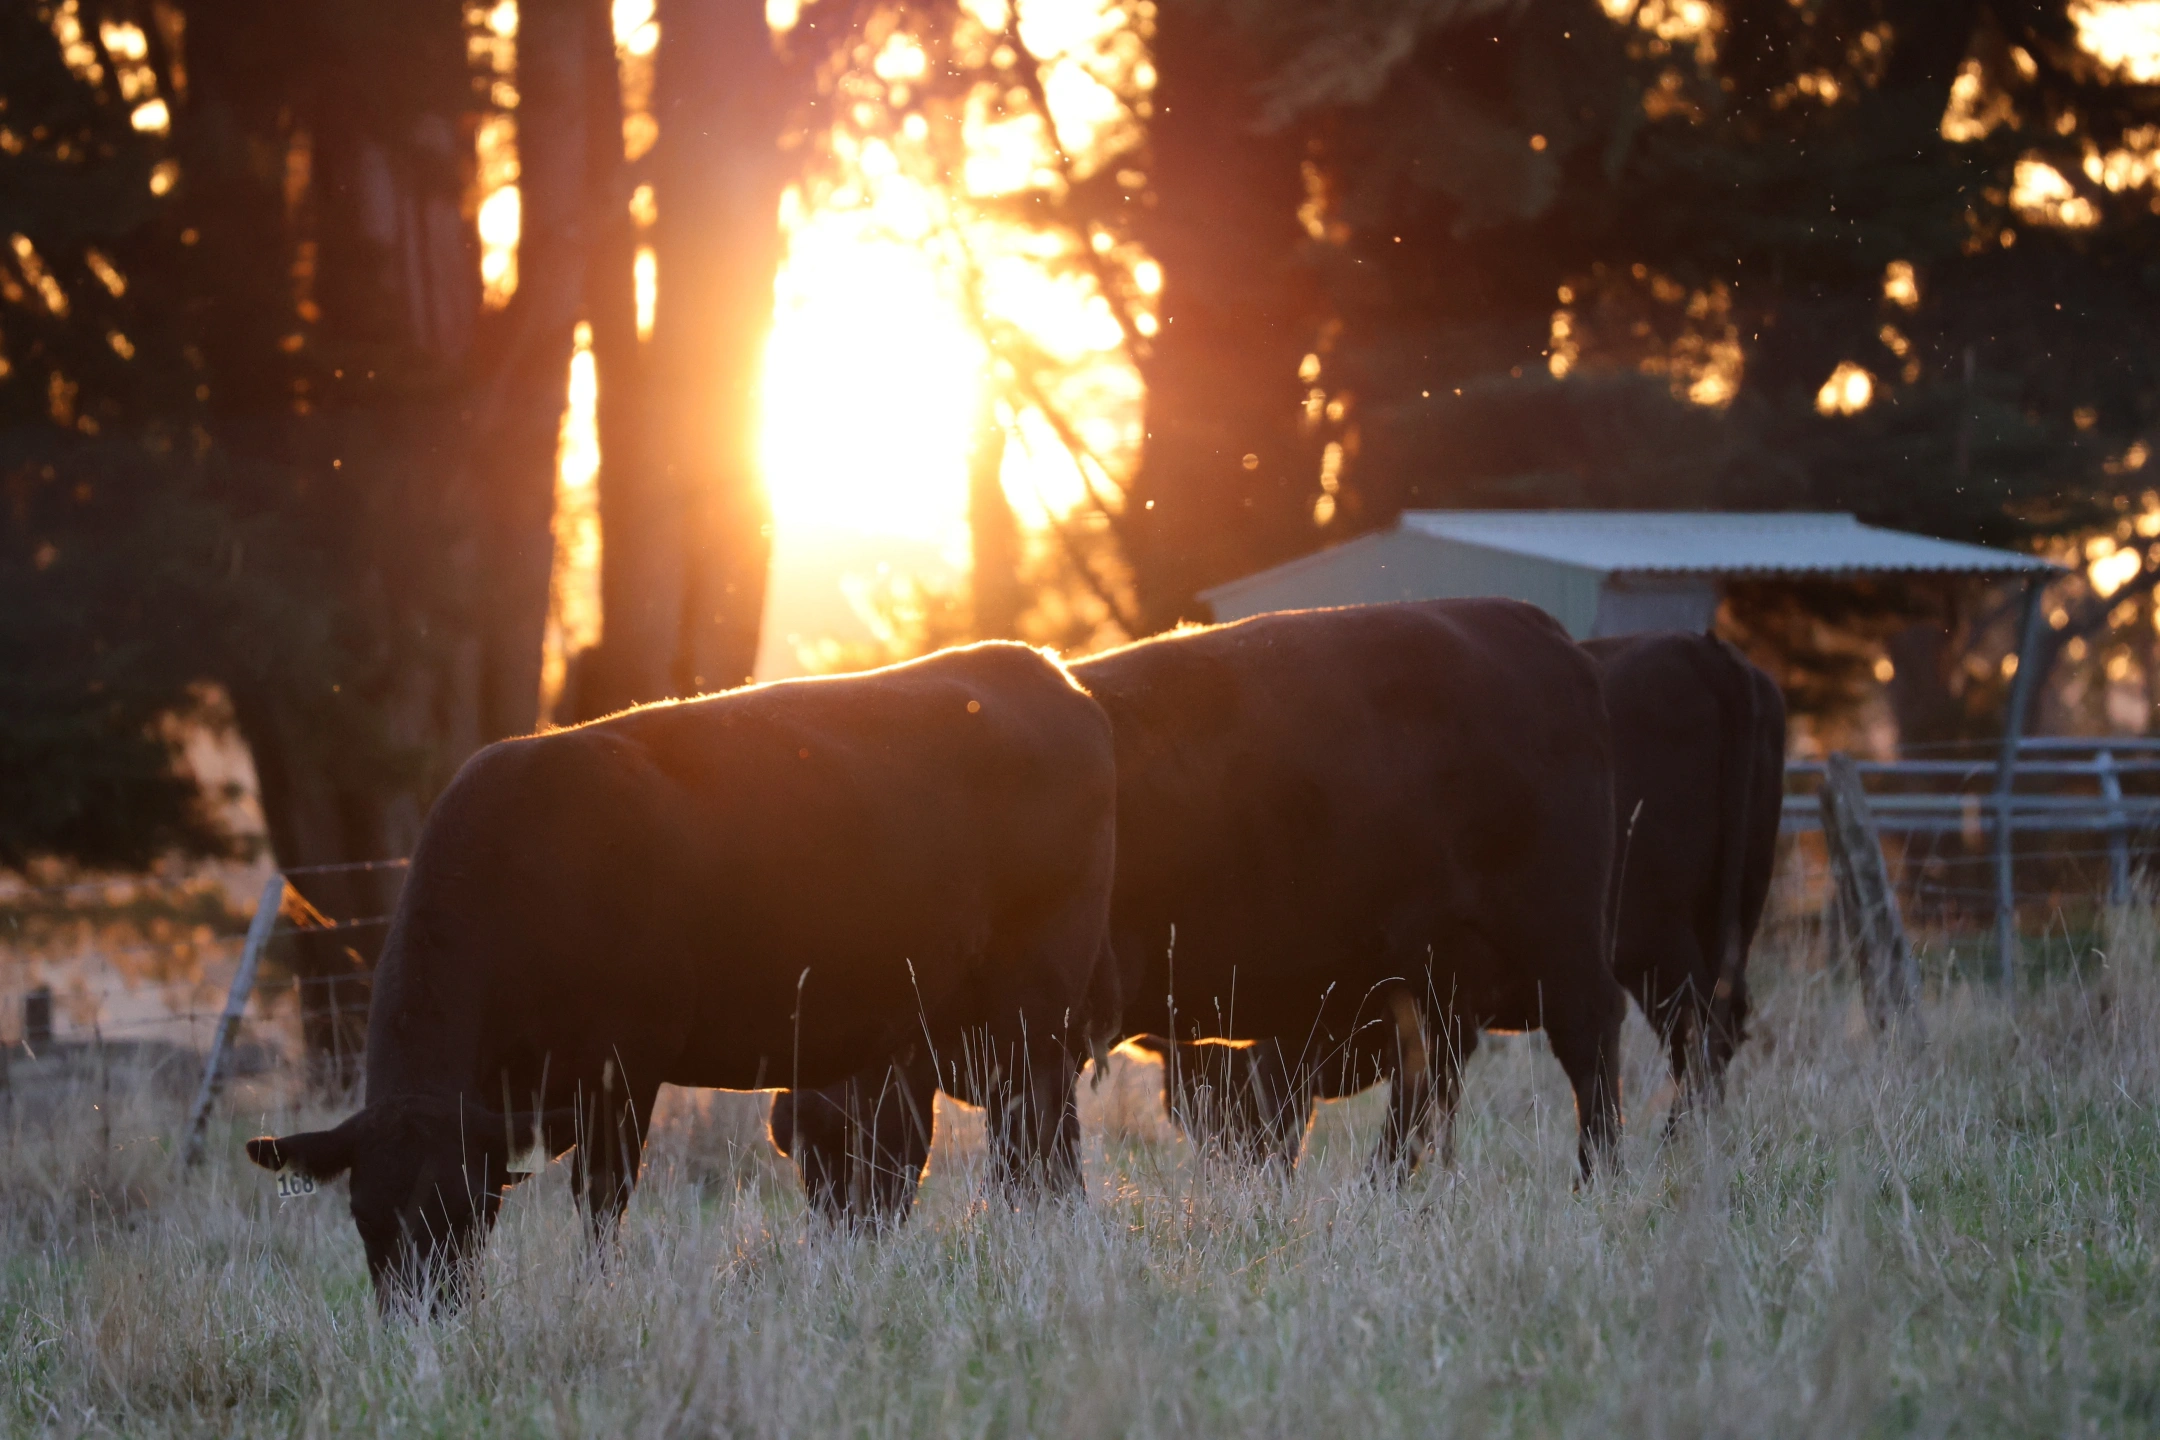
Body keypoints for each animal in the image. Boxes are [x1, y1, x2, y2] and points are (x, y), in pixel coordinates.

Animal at [244, 642, 1119, 1306]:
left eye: (463, 1210)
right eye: (365, 1216)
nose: (422, 1317)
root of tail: (1039, 668)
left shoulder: (622, 1061)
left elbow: (602, 1195)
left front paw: (597, 1296)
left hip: (1033, 1002)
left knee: (1035, 1140)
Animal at [774, 600, 1624, 1187]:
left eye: (832, 1134)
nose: (844, 1240)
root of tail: (1528, 625)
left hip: (1559, 943)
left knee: (1589, 1051)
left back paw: (1599, 1181)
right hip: (1440, 976)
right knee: (1431, 1081)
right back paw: (1380, 1192)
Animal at [1133, 628, 1785, 1167]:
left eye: (1226, 1092)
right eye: (1184, 1112)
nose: (1240, 1173)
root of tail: (1702, 649)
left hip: (1649, 942)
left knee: (1683, 1030)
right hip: (1723, 921)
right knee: (1713, 1030)